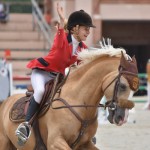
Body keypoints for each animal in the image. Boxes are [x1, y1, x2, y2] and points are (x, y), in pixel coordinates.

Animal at [0, 41, 139, 149]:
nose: (123, 118)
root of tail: (5, 102)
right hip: (4, 143)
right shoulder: (55, 142)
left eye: (135, 90)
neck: (78, 101)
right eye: (122, 86)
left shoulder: (85, 143)